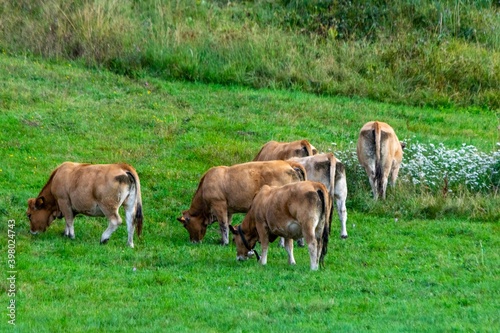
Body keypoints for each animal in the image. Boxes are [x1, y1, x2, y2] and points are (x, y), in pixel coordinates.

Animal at [178, 160, 306, 245]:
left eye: (185, 225)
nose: (193, 241)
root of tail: (288, 163)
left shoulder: (219, 204)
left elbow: (223, 224)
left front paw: (224, 243)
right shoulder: (228, 209)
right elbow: (227, 223)